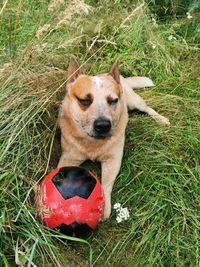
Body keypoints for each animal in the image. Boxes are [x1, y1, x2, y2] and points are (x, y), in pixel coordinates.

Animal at [57, 57, 170, 220]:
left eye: (113, 100)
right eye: (84, 100)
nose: (103, 125)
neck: (93, 144)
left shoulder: (113, 159)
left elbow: (106, 184)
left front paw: (103, 208)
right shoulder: (68, 158)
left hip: (134, 101)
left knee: (147, 108)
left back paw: (160, 119)